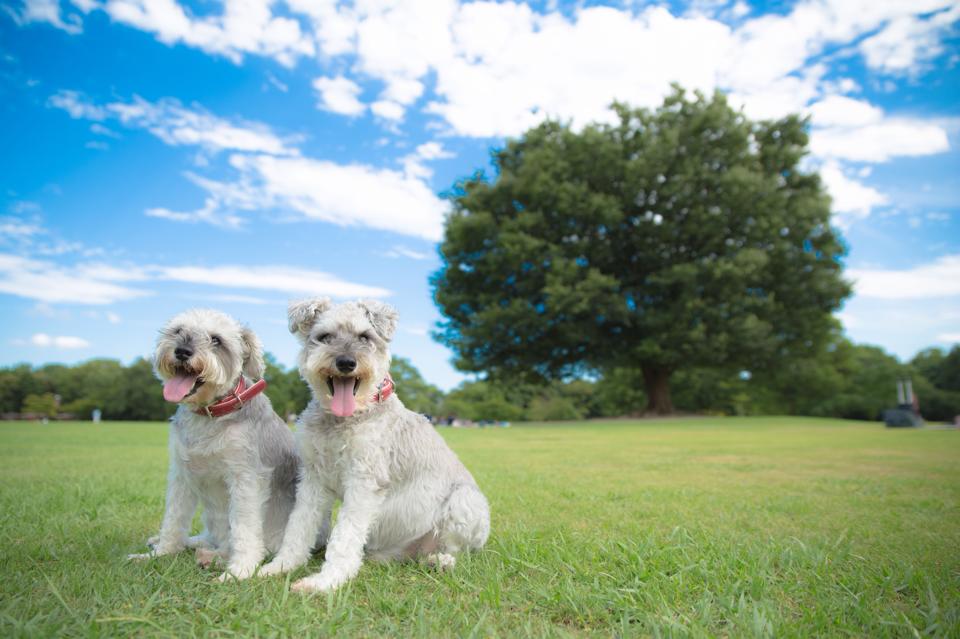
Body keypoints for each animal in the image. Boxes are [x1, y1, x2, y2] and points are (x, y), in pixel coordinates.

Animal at [127, 308, 298, 584]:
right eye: (178, 330)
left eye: (216, 339)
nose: (182, 351)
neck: (209, 414)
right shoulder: (181, 475)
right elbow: (173, 519)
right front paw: (161, 553)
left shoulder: (246, 478)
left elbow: (244, 528)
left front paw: (240, 570)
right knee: (207, 537)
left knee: (233, 545)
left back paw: (213, 559)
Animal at [258, 300, 492, 596]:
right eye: (325, 336)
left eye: (365, 337)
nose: (346, 362)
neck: (343, 419)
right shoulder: (312, 479)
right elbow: (298, 526)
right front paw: (280, 566)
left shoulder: (364, 483)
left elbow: (344, 536)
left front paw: (325, 581)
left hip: (464, 501)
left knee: (457, 550)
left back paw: (440, 560)